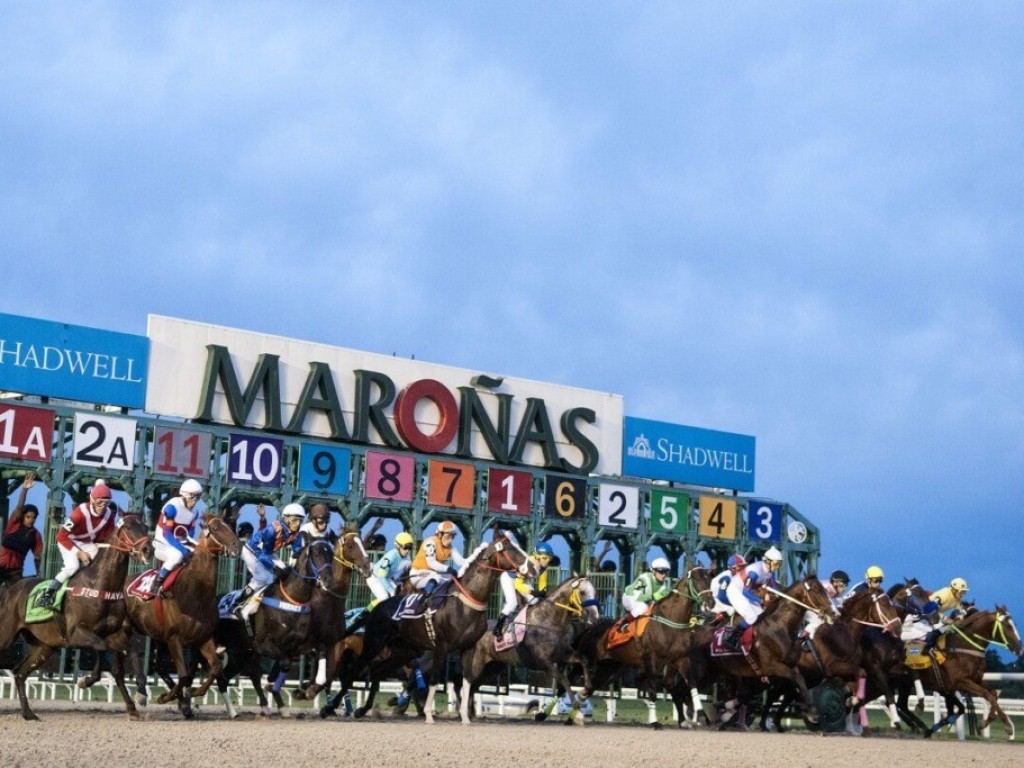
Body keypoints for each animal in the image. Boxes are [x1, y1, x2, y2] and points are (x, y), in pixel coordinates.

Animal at [0, 518, 151, 720]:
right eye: (127, 527)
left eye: (145, 527)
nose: (147, 549)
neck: (100, 585)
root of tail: (11, 589)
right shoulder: (76, 633)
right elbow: (102, 648)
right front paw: (86, 680)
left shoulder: (114, 633)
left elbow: (131, 652)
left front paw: (141, 693)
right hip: (6, 634)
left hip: (44, 646)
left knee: (20, 673)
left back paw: (28, 713)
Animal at [123, 518, 239, 720]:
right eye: (216, 528)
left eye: (230, 526)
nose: (237, 546)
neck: (196, 591)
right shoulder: (174, 638)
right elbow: (184, 674)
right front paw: (166, 697)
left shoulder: (203, 638)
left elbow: (215, 668)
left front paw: (192, 694)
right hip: (130, 628)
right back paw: (142, 694)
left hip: (157, 637)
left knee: (158, 666)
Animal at [352, 536, 536, 729]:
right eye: (510, 549)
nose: (534, 568)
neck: (466, 603)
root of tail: (379, 606)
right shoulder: (441, 647)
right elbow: (434, 679)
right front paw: (428, 715)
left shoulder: (469, 648)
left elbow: (467, 681)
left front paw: (465, 717)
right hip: (374, 643)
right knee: (359, 667)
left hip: (405, 651)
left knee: (378, 671)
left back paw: (363, 709)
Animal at [462, 577, 598, 729]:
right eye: (583, 592)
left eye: (595, 592)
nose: (595, 617)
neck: (549, 621)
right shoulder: (544, 663)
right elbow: (564, 680)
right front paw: (579, 714)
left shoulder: (563, 654)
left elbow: (584, 660)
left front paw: (586, 691)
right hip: (477, 663)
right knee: (467, 683)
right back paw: (465, 716)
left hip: (492, 667)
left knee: (474, 686)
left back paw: (471, 715)